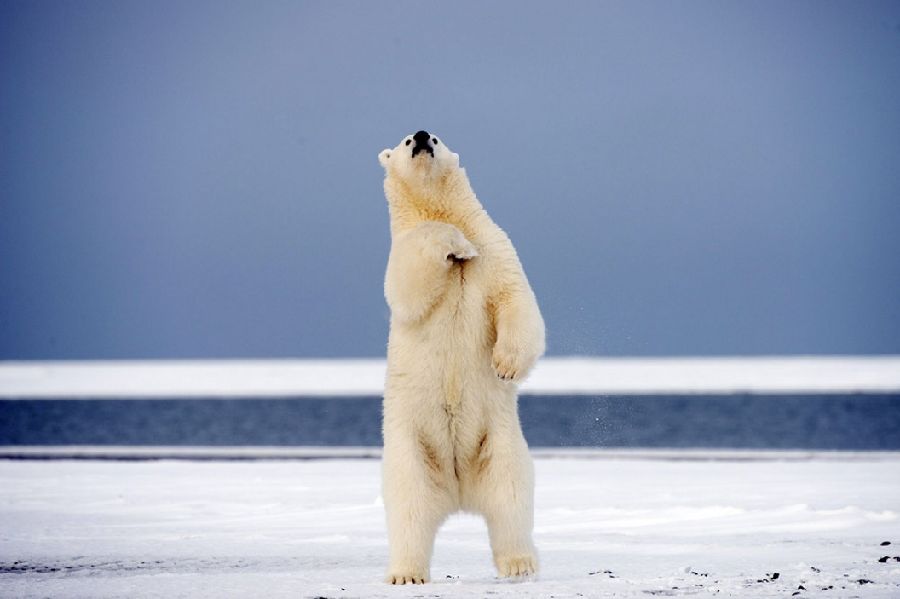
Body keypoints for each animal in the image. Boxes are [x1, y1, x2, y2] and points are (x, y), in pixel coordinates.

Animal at [378, 129, 544, 584]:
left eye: (436, 137)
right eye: (405, 140)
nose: (421, 136)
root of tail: (457, 493)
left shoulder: (498, 249)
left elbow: (516, 299)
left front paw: (505, 366)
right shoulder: (401, 253)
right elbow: (409, 285)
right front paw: (456, 246)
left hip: (500, 442)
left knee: (511, 499)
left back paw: (519, 563)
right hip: (410, 448)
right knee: (409, 507)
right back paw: (406, 572)